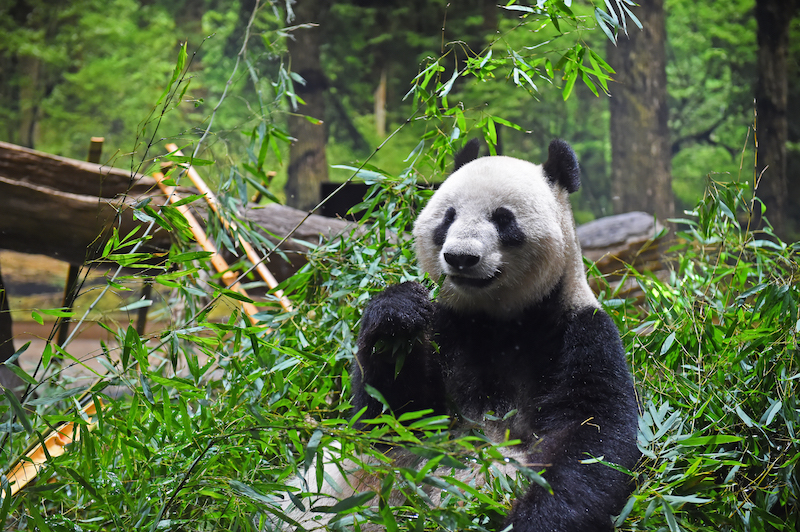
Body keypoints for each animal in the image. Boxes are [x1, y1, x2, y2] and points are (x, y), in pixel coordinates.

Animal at [296, 139, 640, 528]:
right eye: (448, 217)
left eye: (504, 219)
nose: (460, 257)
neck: (497, 318)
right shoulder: (447, 326)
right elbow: (393, 417)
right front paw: (396, 315)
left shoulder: (579, 333)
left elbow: (591, 436)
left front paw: (530, 519)